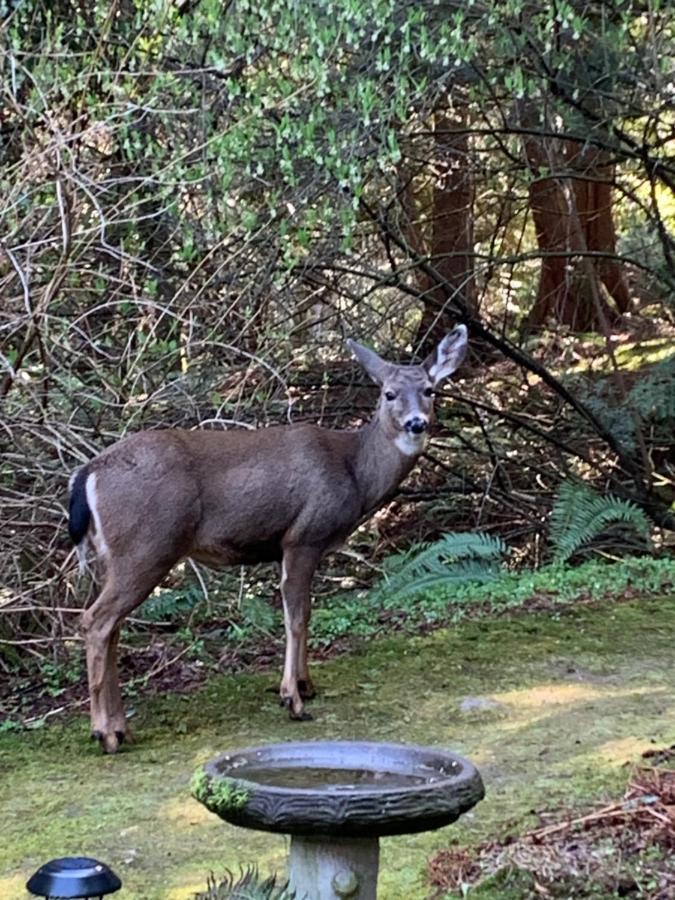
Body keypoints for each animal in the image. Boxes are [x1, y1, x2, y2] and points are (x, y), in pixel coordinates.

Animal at [70, 326, 470, 752]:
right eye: (389, 393)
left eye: (430, 390)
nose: (416, 423)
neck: (354, 471)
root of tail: (87, 474)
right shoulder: (303, 535)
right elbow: (295, 616)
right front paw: (292, 699)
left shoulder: (298, 546)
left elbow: (306, 612)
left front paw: (307, 685)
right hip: (146, 546)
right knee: (97, 620)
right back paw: (105, 733)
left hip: (117, 556)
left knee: (111, 626)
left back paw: (119, 727)